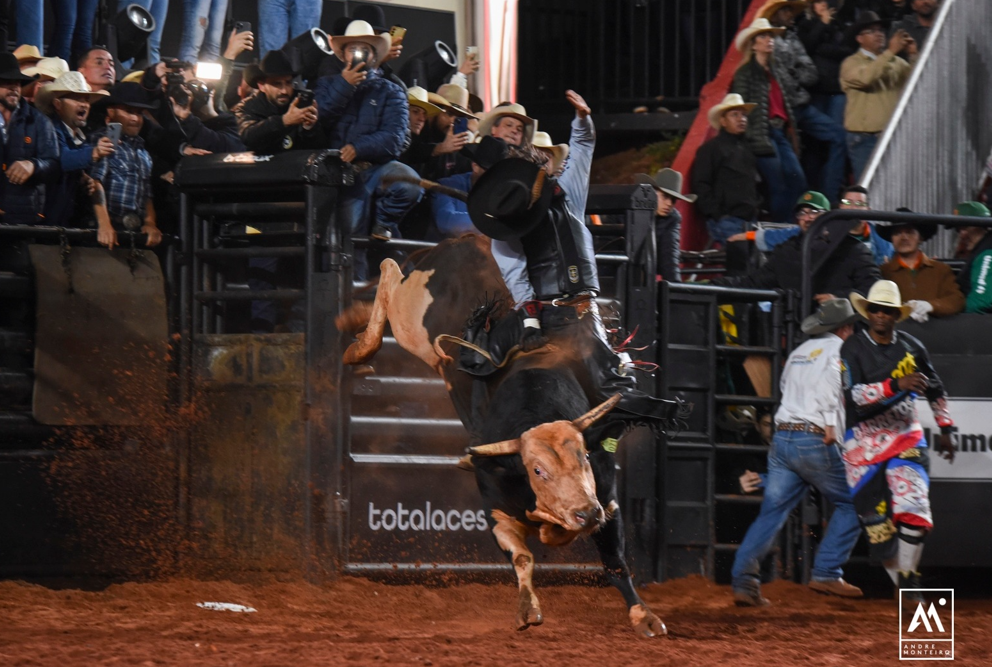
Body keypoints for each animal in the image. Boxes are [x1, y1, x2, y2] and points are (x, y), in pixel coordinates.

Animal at [338, 237, 672, 640]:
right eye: (538, 470)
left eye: (585, 458)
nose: (584, 512)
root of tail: (462, 241)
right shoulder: (495, 509)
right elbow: (522, 557)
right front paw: (528, 609)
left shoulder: (606, 500)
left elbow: (615, 560)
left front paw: (644, 616)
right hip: (412, 319)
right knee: (389, 271)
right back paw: (361, 347)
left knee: (390, 273)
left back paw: (354, 323)